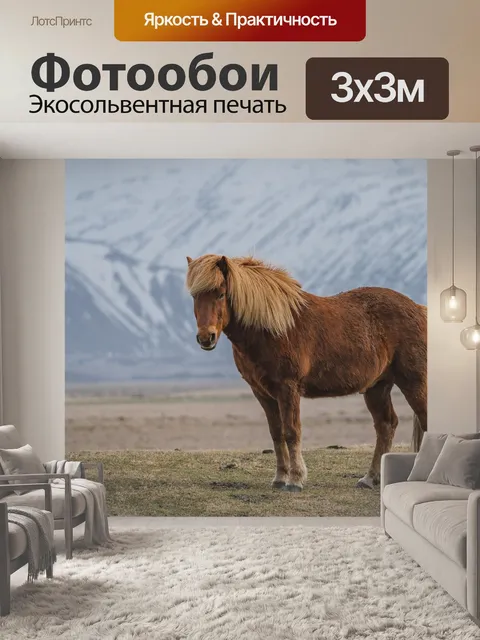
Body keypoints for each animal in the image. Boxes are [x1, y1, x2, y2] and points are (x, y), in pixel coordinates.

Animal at [186, 254, 427, 492]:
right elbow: (276, 433)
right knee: (386, 425)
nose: (206, 338)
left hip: (413, 382)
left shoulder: (288, 388)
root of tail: (418, 309)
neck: (272, 328)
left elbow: (292, 432)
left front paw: (295, 480)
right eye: (194, 296)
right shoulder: (262, 393)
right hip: (377, 387)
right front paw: (279, 478)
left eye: (220, 294)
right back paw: (370, 479)